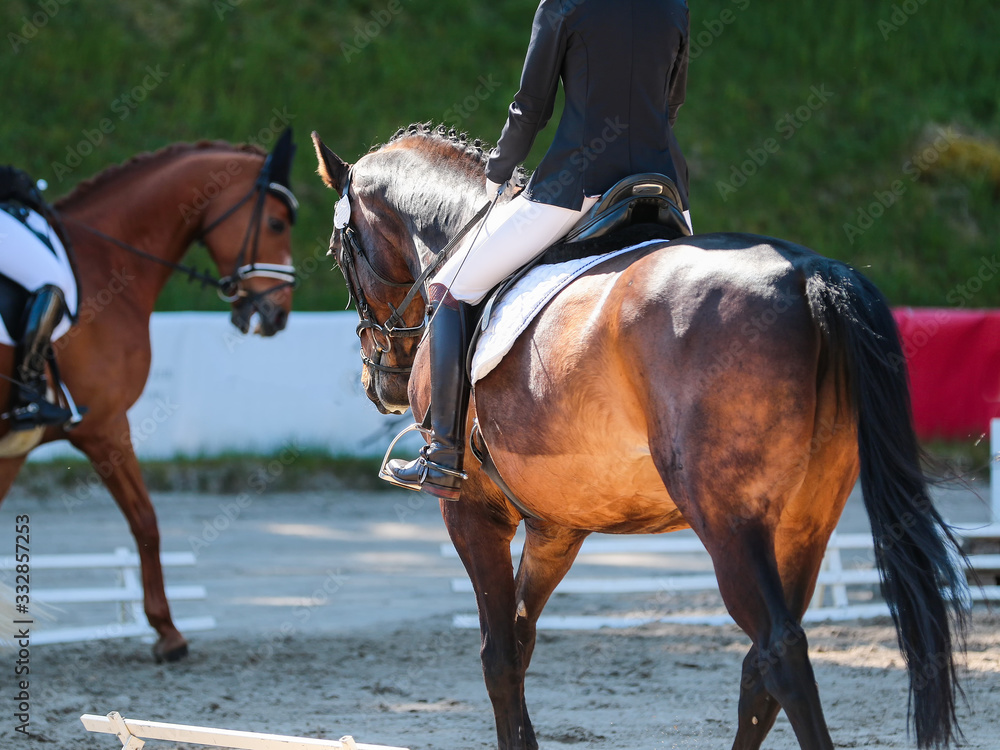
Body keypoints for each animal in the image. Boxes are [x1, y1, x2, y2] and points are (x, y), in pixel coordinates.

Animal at [0, 130, 299, 661]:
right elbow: (146, 520)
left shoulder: (16, 443)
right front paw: (168, 632)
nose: (278, 314)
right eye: (277, 222)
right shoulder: (105, 425)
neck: (103, 263)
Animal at [311, 124, 968, 750]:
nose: (380, 384)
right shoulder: (558, 526)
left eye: (339, 252)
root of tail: (812, 274)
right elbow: (521, 640)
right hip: (805, 522)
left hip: (730, 522)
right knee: (760, 668)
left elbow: (497, 656)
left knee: (779, 652)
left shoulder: (474, 511)